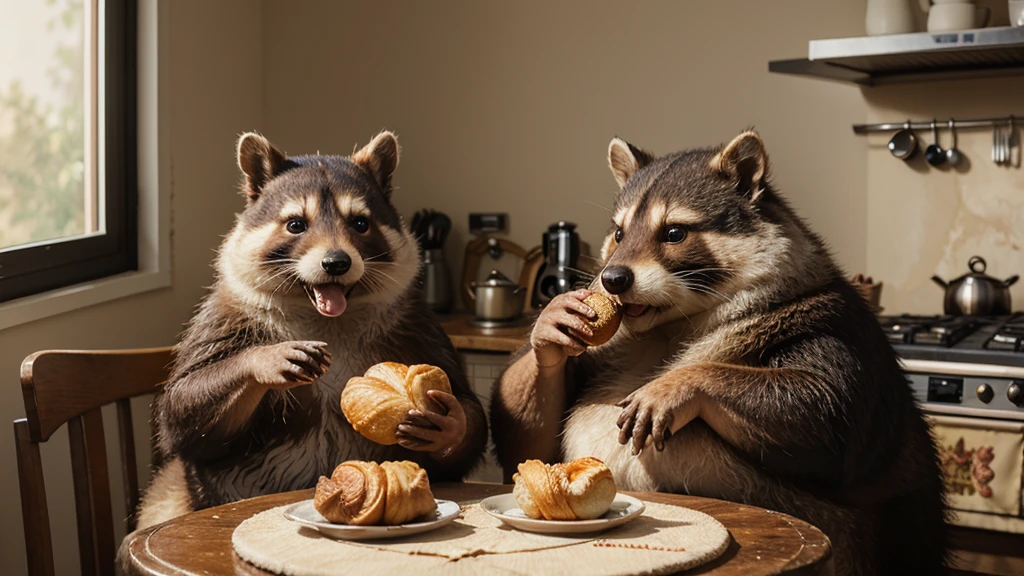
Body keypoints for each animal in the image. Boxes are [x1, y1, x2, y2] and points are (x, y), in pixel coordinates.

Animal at [491, 131, 946, 573]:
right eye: (619, 234)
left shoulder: (835, 328)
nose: (612, 279)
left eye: (674, 233)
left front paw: (683, 382)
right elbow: (528, 447)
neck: (670, 324)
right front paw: (549, 326)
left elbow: (828, 412)